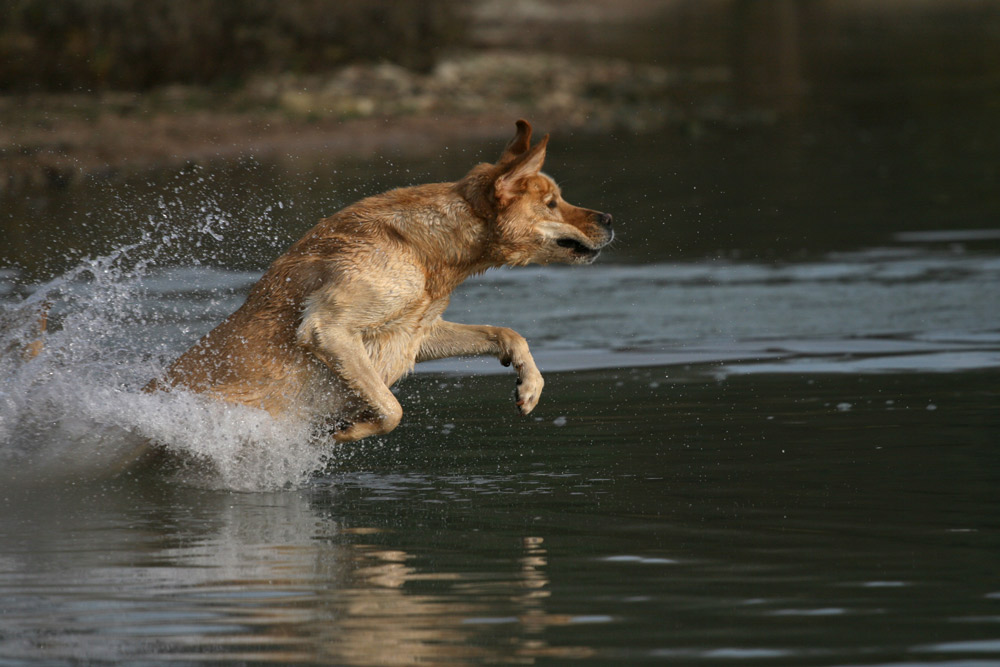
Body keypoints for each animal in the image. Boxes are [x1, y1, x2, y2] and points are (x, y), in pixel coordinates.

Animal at [147, 120, 612, 444]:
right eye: (552, 203)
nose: (609, 219)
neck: (425, 249)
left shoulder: (416, 334)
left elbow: (509, 333)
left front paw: (529, 386)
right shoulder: (328, 328)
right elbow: (392, 410)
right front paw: (345, 431)